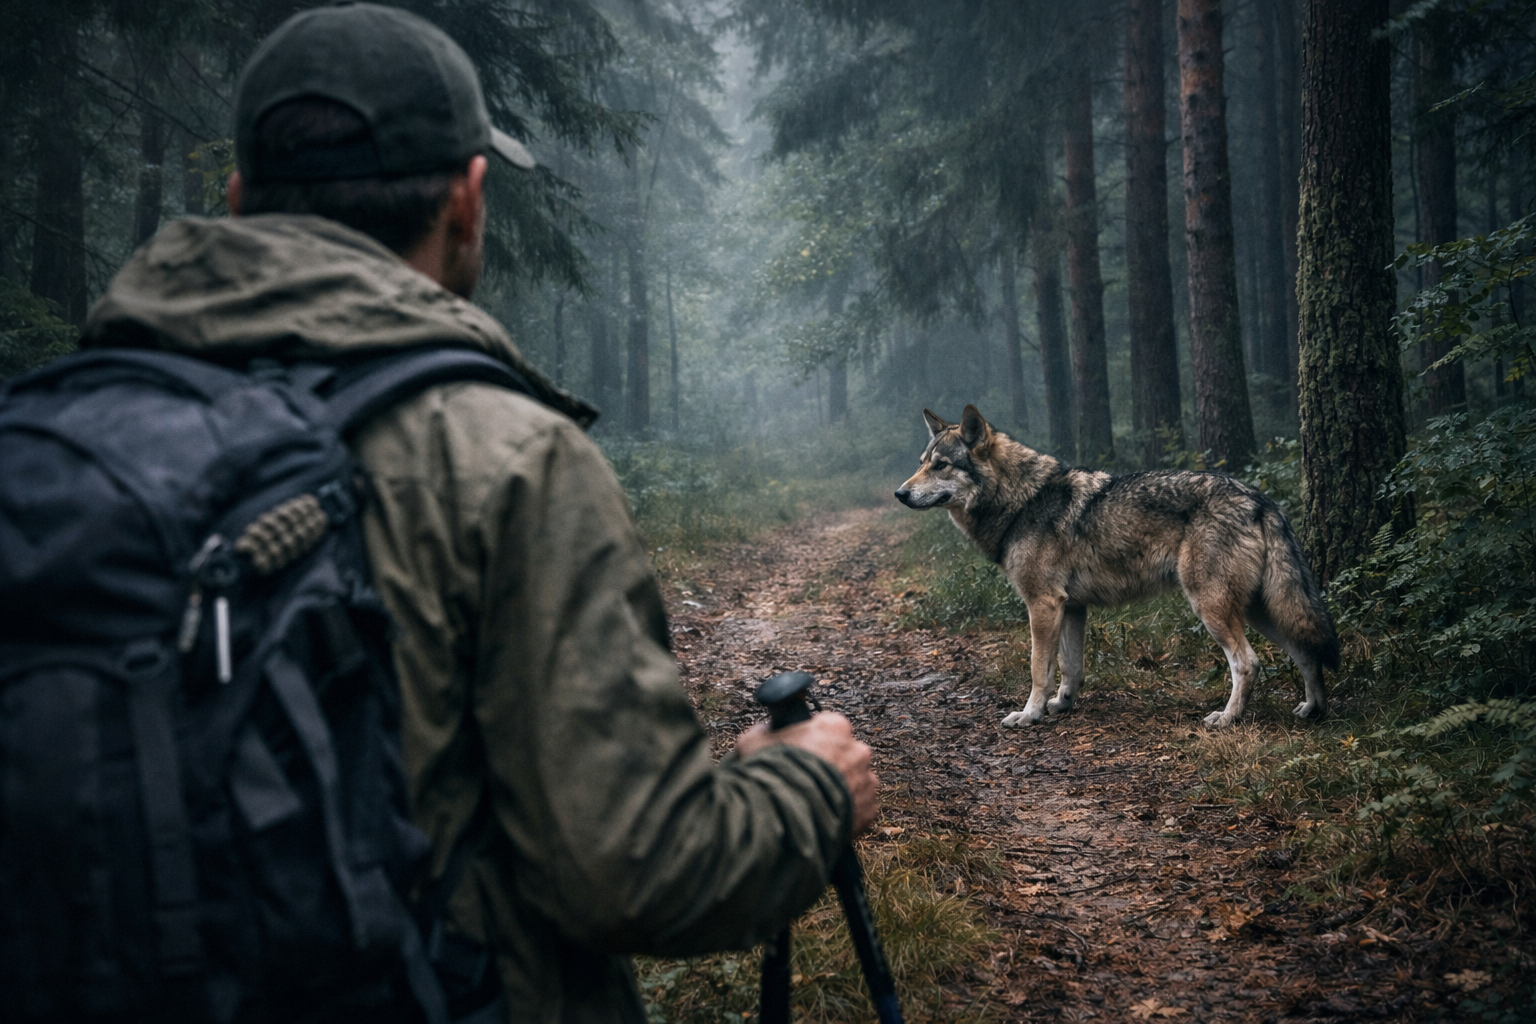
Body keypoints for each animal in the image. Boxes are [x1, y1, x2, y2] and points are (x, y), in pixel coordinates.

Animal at [895, 406, 1339, 728]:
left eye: (940, 465)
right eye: (920, 462)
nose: (899, 493)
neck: (1021, 500)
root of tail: (1260, 499)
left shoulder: (1043, 604)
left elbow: (1039, 669)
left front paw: (1029, 714)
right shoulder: (1071, 607)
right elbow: (1071, 668)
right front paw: (1062, 704)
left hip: (1212, 607)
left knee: (1248, 664)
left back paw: (1227, 718)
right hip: (1261, 608)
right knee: (1306, 650)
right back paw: (1313, 710)